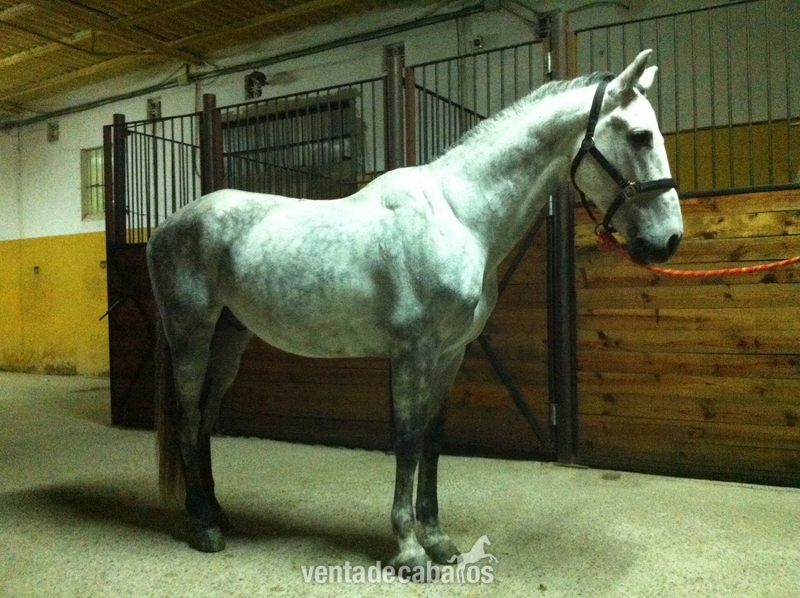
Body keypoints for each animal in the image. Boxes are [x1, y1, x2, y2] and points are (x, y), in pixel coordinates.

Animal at [146, 50, 682, 573]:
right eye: (639, 135)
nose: (669, 240)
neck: (457, 216)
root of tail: (166, 227)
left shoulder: (450, 354)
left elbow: (432, 439)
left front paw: (438, 540)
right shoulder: (411, 351)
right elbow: (406, 439)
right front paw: (408, 550)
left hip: (229, 338)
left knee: (206, 417)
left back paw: (217, 512)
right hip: (191, 335)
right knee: (189, 417)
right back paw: (202, 526)